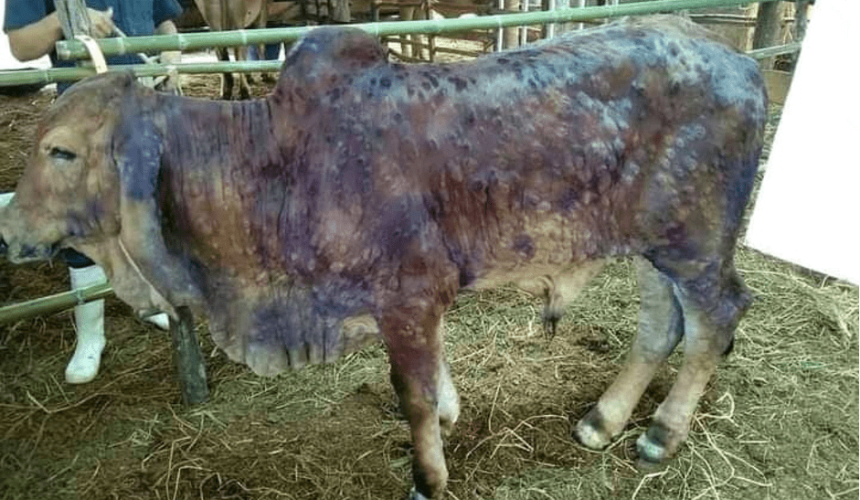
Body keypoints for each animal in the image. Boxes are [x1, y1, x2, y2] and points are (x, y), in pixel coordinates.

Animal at [0, 16, 767, 499]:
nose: (7, 228)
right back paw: (603, 421)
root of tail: (742, 60)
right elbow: (433, 381)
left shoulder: (408, 294)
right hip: (654, 246)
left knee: (718, 318)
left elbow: (413, 395)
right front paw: (454, 416)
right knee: (660, 326)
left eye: (61, 151)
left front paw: (428, 479)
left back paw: (662, 433)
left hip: (696, 244)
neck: (273, 162)